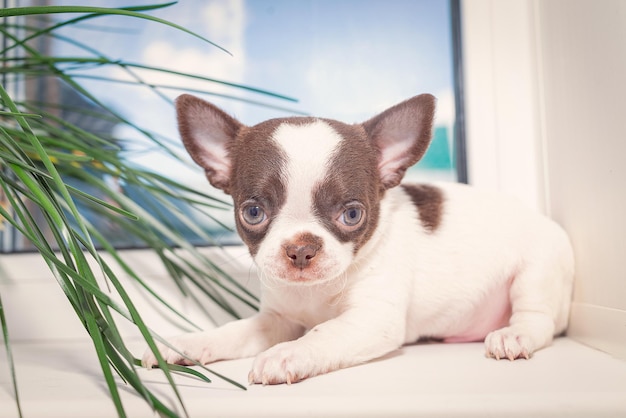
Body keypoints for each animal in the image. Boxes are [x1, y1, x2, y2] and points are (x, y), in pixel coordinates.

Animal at [140, 93, 572, 384]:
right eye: (253, 213)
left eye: (352, 215)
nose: (301, 248)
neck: (315, 292)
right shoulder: (276, 320)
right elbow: (233, 330)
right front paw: (187, 343)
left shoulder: (370, 320)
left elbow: (323, 332)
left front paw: (288, 355)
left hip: (535, 272)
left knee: (538, 320)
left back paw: (514, 335)